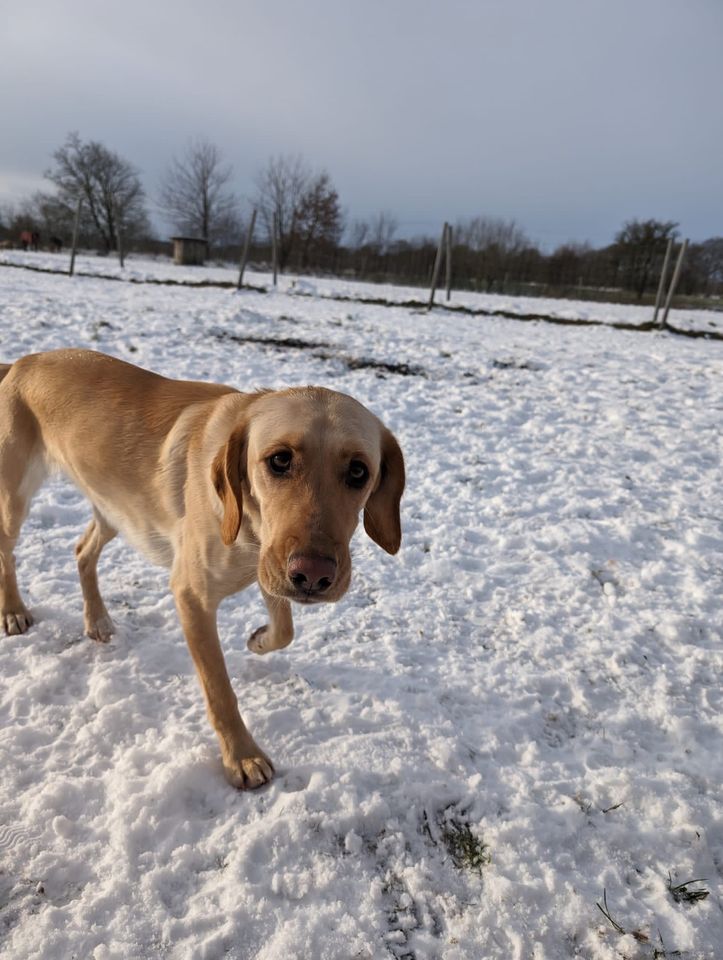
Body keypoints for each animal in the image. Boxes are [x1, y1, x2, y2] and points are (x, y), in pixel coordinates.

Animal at [0, 350, 408, 788]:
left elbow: (285, 628)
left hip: (117, 511)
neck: (248, 523)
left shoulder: (269, 561)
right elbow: (220, 690)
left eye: (359, 471)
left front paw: (259, 640)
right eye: (280, 460)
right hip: (15, 499)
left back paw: (97, 620)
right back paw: (14, 612)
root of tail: (21, 362)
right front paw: (242, 757)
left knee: (82, 551)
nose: (314, 576)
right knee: (8, 554)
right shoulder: (193, 595)